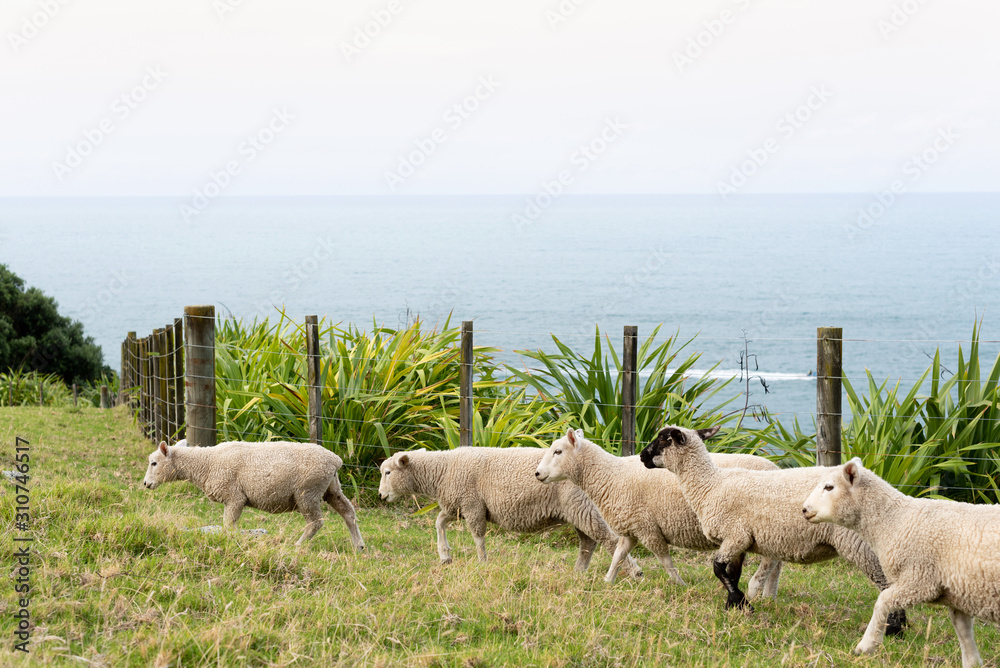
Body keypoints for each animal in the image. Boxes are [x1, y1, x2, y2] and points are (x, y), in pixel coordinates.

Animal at [143, 440, 365, 550]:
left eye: (154, 463)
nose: (145, 484)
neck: (207, 463)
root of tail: (335, 460)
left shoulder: (234, 497)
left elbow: (228, 526)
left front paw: (232, 543)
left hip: (307, 492)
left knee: (315, 523)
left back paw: (298, 545)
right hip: (330, 489)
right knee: (348, 513)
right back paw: (359, 546)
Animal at [378, 447, 639, 575]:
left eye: (388, 472)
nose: (381, 496)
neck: (443, 470)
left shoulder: (473, 505)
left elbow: (478, 537)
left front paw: (482, 562)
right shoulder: (458, 505)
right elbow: (439, 522)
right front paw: (445, 555)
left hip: (582, 507)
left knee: (608, 539)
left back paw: (633, 571)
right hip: (579, 509)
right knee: (588, 543)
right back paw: (579, 572)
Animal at [534, 428, 783, 596]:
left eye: (558, 451)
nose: (537, 474)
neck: (612, 476)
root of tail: (776, 467)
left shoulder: (649, 529)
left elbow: (665, 561)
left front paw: (680, 584)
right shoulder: (632, 529)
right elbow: (618, 556)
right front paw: (608, 581)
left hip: (765, 527)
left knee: (770, 562)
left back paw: (757, 592)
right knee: (777, 564)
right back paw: (769, 595)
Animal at [640, 425, 906, 634]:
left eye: (663, 439)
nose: (642, 456)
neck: (710, 486)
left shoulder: (735, 535)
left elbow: (717, 569)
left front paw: (743, 604)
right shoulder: (739, 540)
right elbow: (732, 573)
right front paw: (733, 607)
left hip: (857, 541)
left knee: (885, 581)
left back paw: (894, 629)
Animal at [803, 457, 1000, 666]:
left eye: (829, 487)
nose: (804, 509)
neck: (895, 521)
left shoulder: (920, 580)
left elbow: (882, 601)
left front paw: (866, 646)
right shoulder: (956, 592)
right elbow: (963, 630)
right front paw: (973, 661)